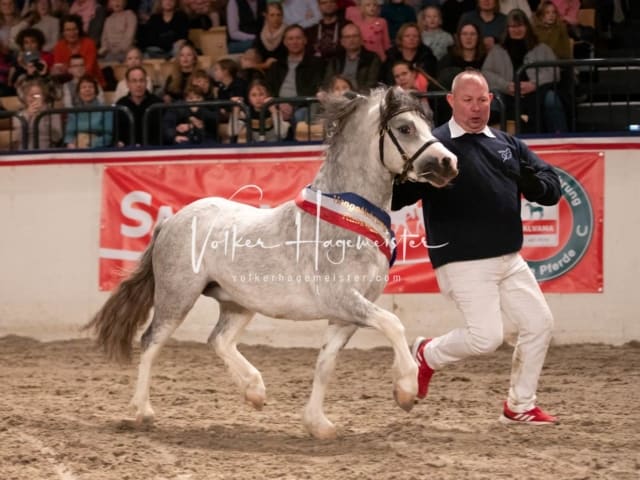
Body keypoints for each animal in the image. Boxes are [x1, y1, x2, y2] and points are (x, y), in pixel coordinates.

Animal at [87, 86, 460, 438]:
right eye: (405, 127)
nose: (449, 163)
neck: (347, 219)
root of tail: (172, 220)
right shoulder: (343, 300)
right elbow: (393, 325)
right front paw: (406, 389)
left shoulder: (347, 314)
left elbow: (326, 363)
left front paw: (318, 425)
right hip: (177, 297)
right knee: (152, 341)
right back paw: (143, 412)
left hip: (237, 302)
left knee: (218, 340)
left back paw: (255, 391)